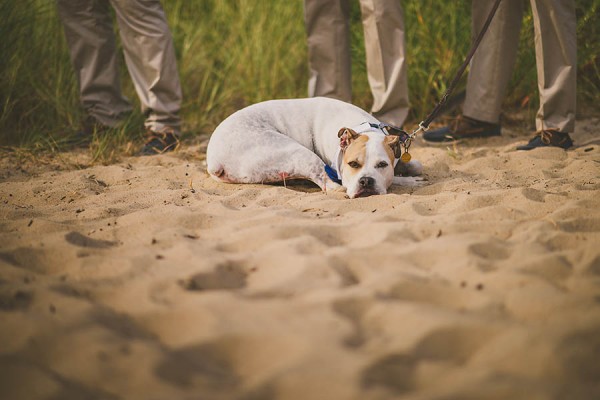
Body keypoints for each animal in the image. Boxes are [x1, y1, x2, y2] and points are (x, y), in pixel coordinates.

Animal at [206, 97, 422, 197]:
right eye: (353, 164)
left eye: (382, 165)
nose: (366, 181)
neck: (364, 128)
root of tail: (213, 158)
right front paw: (407, 180)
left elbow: (414, 164)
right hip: (297, 153)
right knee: (331, 185)